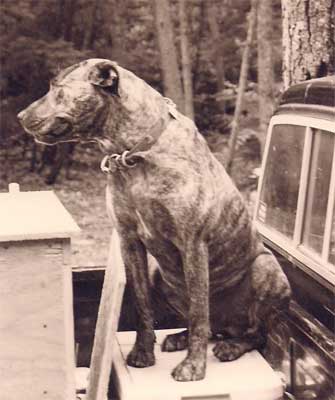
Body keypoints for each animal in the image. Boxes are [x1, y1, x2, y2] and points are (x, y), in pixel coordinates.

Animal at [18, 58, 292, 382]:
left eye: (57, 88)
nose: (21, 116)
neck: (134, 154)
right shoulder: (130, 242)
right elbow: (142, 305)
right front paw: (142, 353)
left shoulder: (193, 243)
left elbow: (199, 312)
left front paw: (193, 367)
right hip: (159, 275)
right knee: (212, 326)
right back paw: (181, 337)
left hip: (265, 269)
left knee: (253, 332)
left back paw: (232, 346)